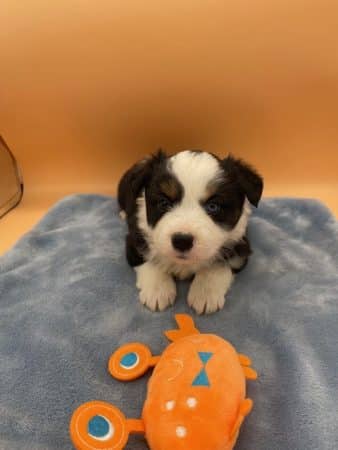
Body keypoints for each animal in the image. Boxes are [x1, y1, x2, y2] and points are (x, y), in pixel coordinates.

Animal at [117, 149, 262, 314]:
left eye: (213, 206)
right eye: (164, 203)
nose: (182, 241)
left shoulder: (240, 245)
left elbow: (219, 263)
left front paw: (204, 294)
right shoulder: (135, 239)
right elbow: (148, 259)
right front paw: (158, 291)